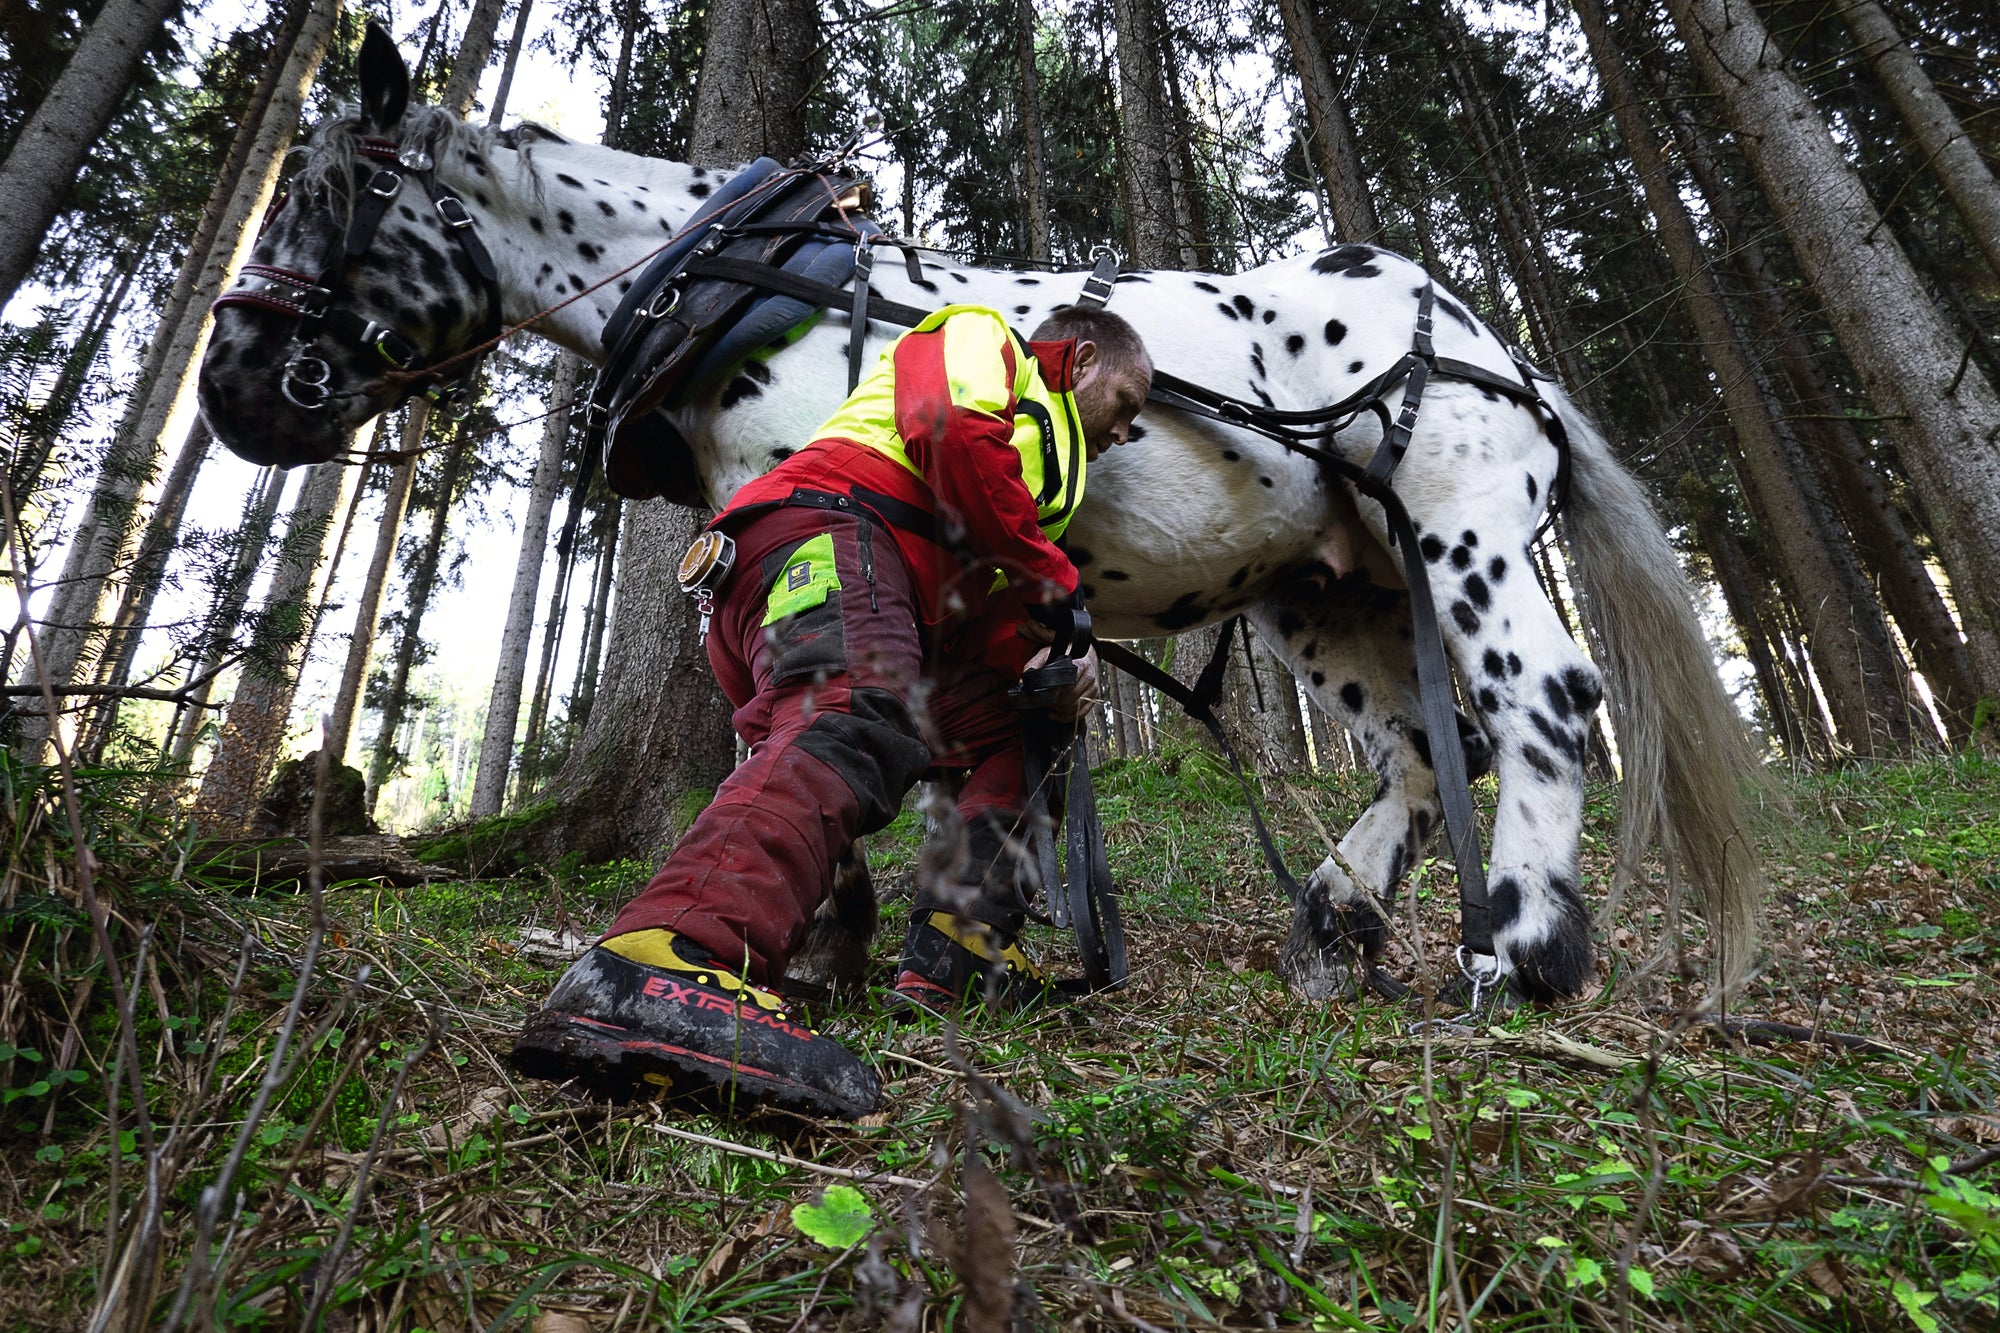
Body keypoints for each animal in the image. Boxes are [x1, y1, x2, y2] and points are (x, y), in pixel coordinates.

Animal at [195, 27, 1765, 1003]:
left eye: (329, 194)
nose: (225, 389)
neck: (743, 278)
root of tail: (1494, 338)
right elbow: (945, 744)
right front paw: (910, 938)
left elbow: (814, 729)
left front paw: (829, 946)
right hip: (1328, 590)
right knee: (1418, 755)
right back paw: (1335, 919)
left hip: (1461, 527)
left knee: (1542, 698)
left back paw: (1524, 950)